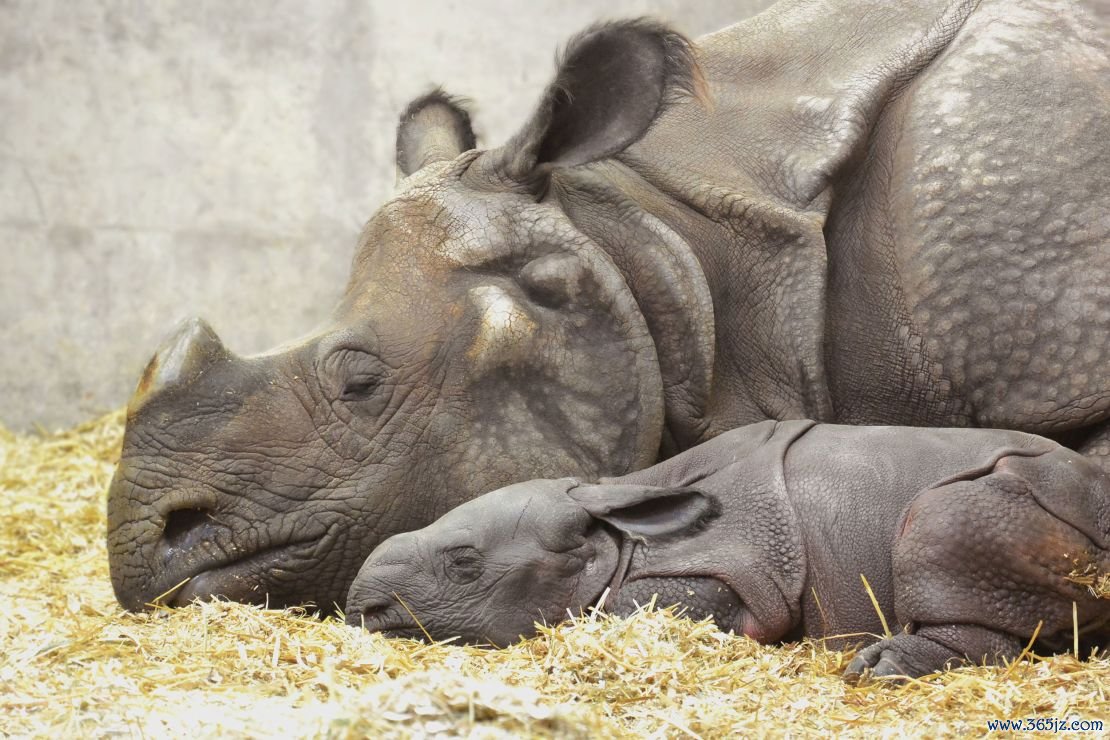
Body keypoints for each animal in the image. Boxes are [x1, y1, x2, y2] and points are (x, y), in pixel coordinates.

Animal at [348, 421, 1110, 678]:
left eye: (464, 564)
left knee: (946, 521)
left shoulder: (741, 567)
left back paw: (880, 667)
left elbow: (632, 608)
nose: (361, 608)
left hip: (1013, 498)